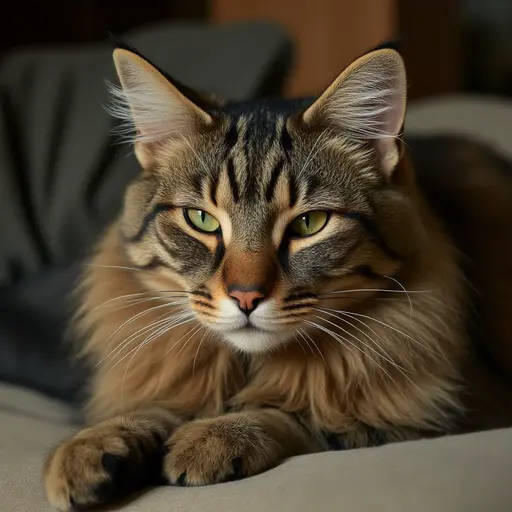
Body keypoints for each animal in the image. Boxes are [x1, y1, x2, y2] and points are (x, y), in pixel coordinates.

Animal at [43, 46, 512, 510]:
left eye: (309, 224)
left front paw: (215, 437)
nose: (245, 297)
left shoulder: (434, 417)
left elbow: (294, 416)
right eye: (200, 219)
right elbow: (148, 410)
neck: (247, 365)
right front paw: (90, 447)